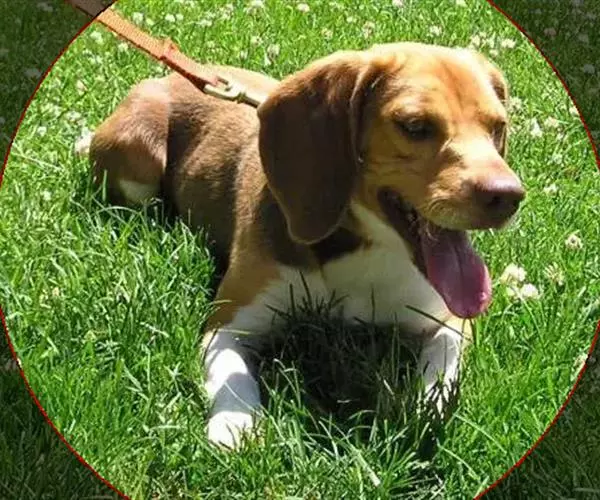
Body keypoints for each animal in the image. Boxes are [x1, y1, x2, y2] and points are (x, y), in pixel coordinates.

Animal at [89, 42, 525, 449]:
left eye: (497, 127)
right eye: (415, 126)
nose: (509, 196)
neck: (361, 250)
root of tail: (166, 78)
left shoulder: (448, 320)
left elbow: (442, 369)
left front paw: (421, 407)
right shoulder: (227, 323)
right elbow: (233, 377)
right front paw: (234, 426)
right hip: (137, 156)